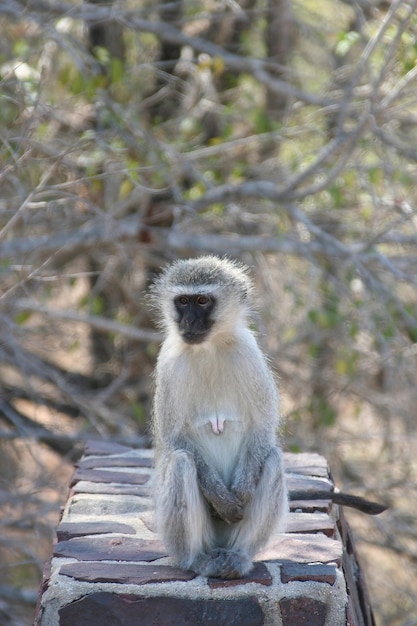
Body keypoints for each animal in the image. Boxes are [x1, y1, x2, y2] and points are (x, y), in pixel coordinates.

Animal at [150, 254, 290, 576]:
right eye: (183, 301)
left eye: (202, 301)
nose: (188, 322)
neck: (209, 348)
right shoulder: (169, 363)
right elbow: (174, 440)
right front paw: (221, 499)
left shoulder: (249, 355)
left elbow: (263, 430)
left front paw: (241, 491)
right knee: (181, 462)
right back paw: (197, 560)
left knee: (272, 458)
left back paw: (238, 557)